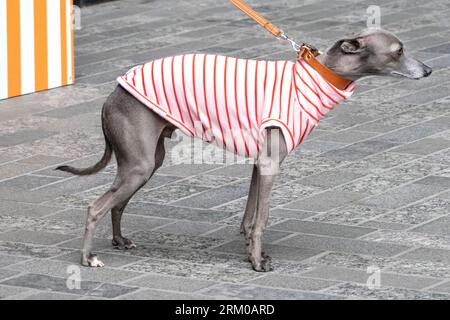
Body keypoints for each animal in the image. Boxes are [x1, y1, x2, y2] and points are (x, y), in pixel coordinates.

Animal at [57, 28, 432, 272]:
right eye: (399, 50)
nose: (429, 70)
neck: (316, 77)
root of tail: (112, 94)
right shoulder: (270, 165)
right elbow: (262, 219)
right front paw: (256, 262)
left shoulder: (258, 163)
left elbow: (250, 218)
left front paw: (252, 252)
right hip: (139, 165)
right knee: (96, 206)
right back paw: (87, 258)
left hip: (146, 163)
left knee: (116, 203)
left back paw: (120, 241)